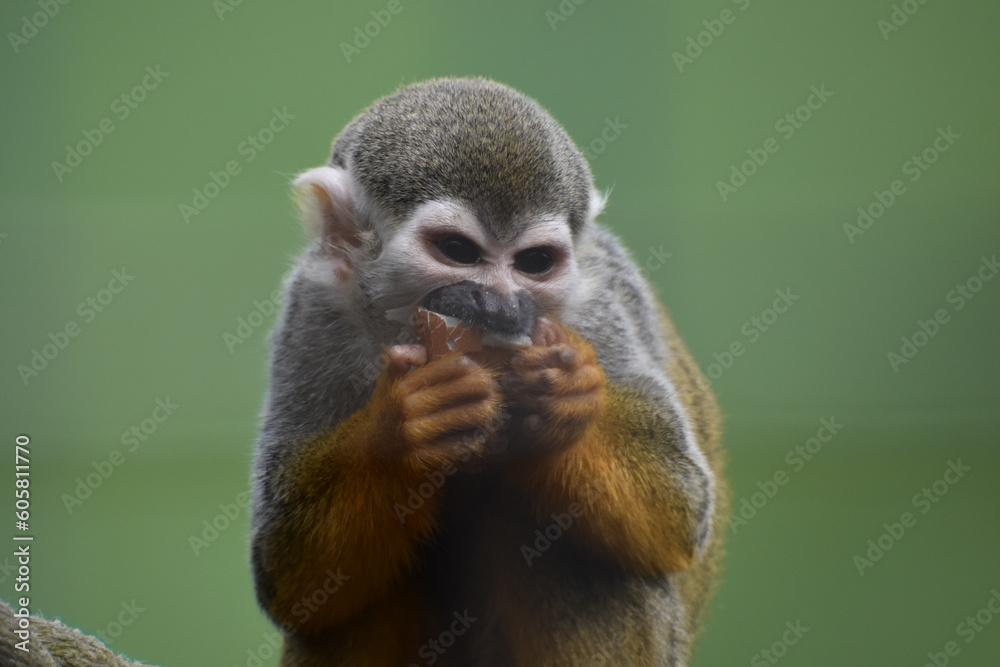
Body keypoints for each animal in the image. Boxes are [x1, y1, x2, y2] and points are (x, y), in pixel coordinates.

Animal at [250, 77, 726, 667]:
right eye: (458, 250)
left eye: (534, 263)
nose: (500, 305)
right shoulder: (315, 309)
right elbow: (290, 575)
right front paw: (403, 429)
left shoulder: (598, 303)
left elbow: (681, 510)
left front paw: (562, 403)